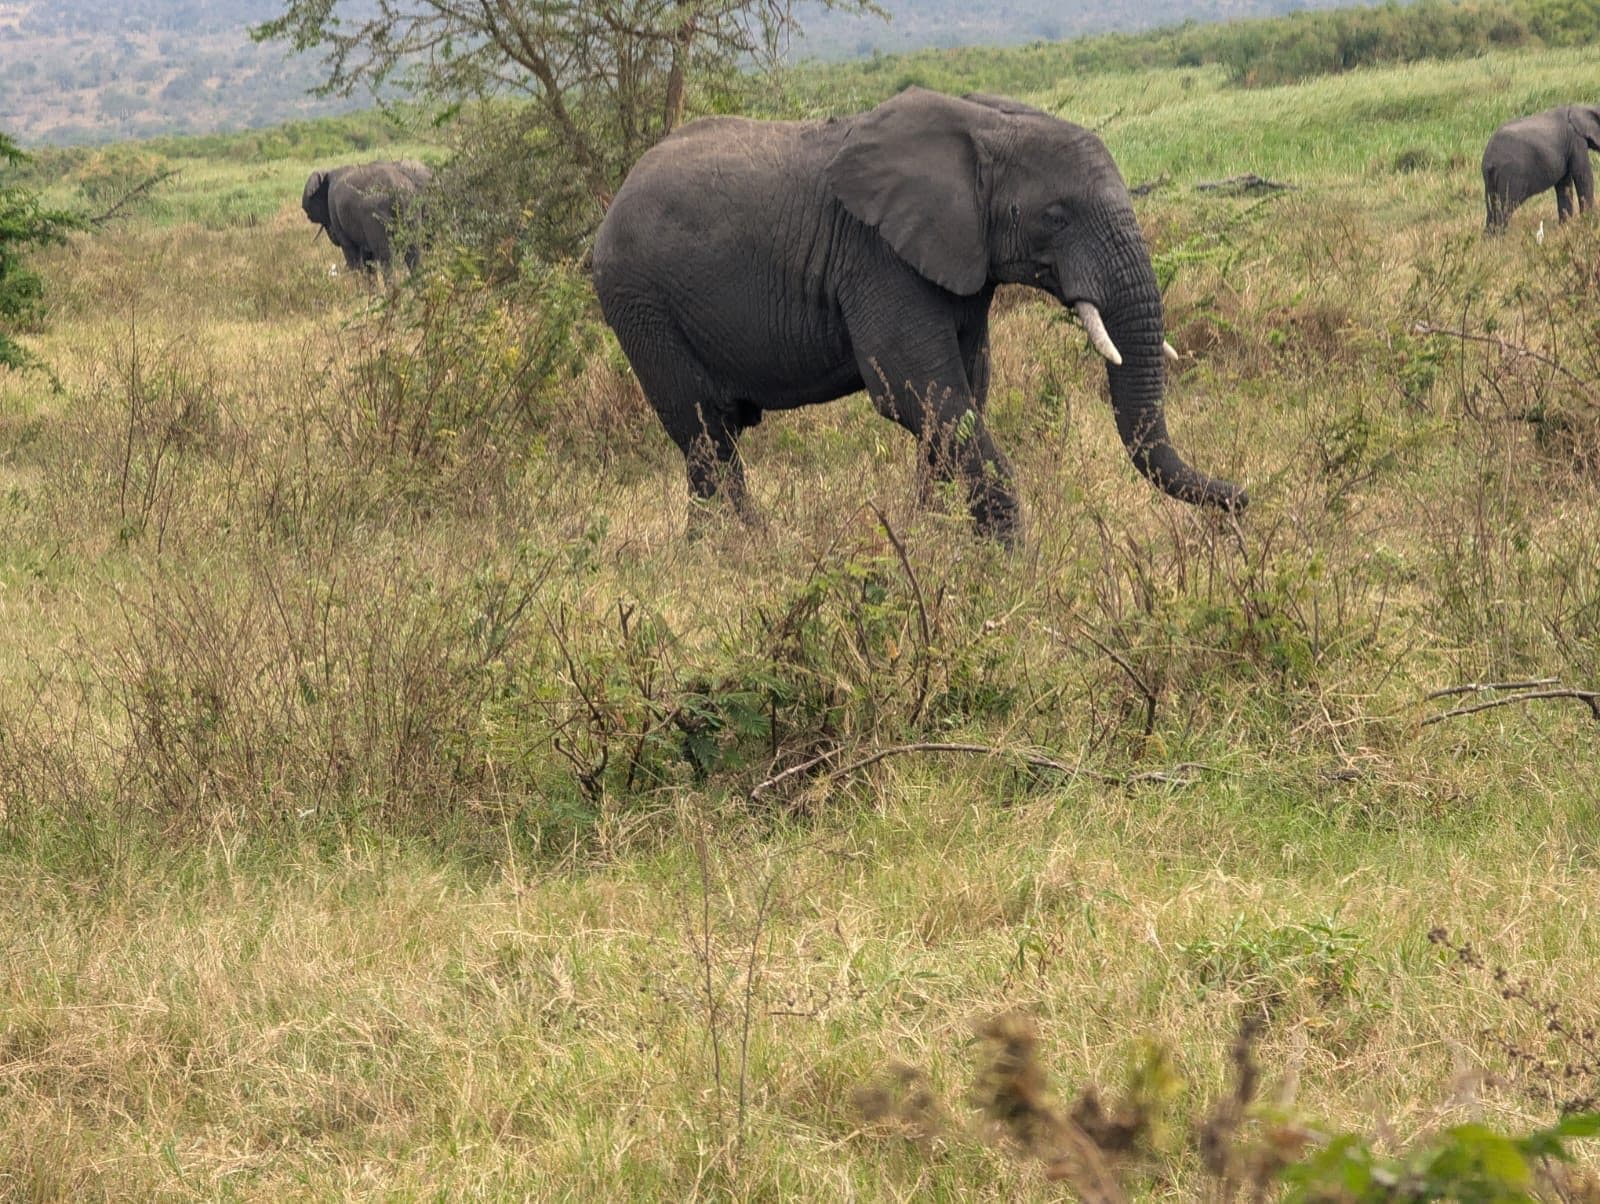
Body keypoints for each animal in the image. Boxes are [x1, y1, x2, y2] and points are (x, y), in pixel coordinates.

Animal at [301, 160, 432, 279]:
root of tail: (396, 188)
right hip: (411, 207)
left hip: (376, 212)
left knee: (386, 256)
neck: (327, 172)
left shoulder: (335, 211)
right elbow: (368, 259)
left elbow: (351, 253)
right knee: (414, 250)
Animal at [591, 87, 1244, 542]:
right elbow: (919, 391)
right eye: (1056, 217)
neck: (986, 126)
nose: (1241, 501)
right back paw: (737, 554)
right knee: (705, 433)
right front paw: (1005, 566)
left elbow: (961, 393)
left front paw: (934, 541)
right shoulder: (877, 258)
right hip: (640, 304)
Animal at [1481, 105, 1600, 234]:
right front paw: (1587, 226)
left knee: (1493, 210)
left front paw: (1565, 229)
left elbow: (1564, 185)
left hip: (1492, 180)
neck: (1582, 108)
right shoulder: (1576, 140)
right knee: (1505, 209)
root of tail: (1488, 160)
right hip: (1510, 175)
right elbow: (1583, 177)